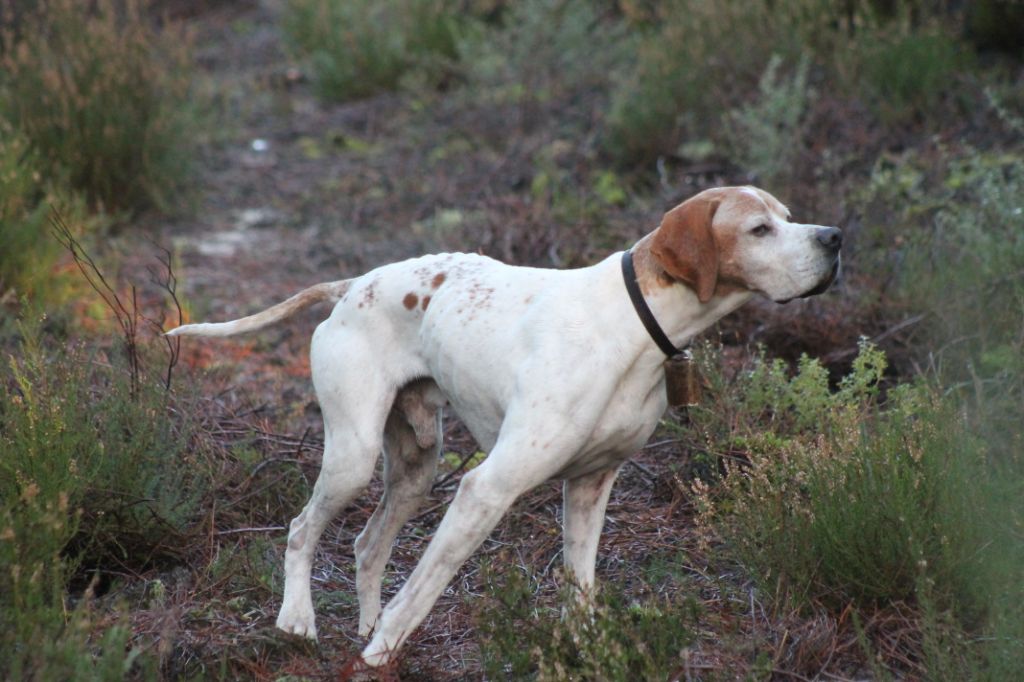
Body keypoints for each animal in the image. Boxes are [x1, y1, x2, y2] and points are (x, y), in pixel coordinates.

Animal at [167, 186, 839, 663]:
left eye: (789, 216)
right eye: (759, 229)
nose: (835, 236)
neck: (634, 322)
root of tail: (354, 283)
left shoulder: (590, 486)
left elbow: (579, 586)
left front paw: (584, 652)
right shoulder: (486, 489)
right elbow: (425, 587)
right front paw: (382, 651)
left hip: (415, 467)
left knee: (366, 545)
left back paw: (359, 619)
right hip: (353, 458)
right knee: (302, 529)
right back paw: (297, 621)